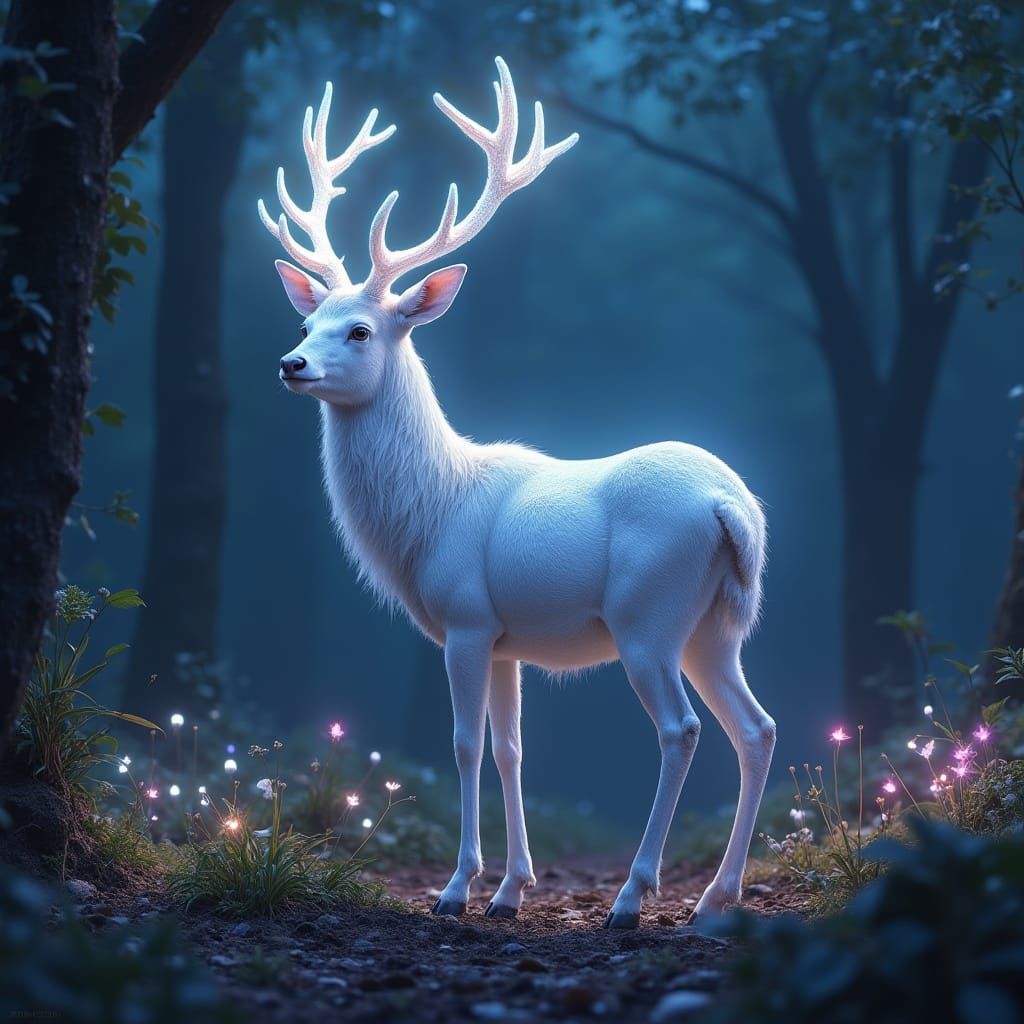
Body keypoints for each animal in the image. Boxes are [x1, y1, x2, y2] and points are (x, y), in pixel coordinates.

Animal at [259, 57, 775, 929]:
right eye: (307, 322)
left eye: (360, 329)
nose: (291, 365)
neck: (428, 514)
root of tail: (728, 507)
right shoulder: (506, 640)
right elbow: (510, 749)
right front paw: (511, 888)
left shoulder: (465, 619)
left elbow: (465, 746)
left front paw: (457, 888)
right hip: (717, 625)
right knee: (756, 728)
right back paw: (714, 899)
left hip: (648, 614)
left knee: (681, 730)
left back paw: (634, 895)